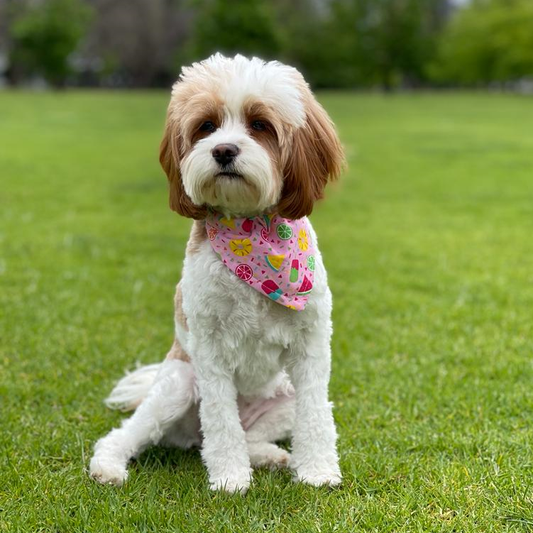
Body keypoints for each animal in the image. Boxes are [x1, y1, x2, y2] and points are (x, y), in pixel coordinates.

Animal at [88, 53, 344, 490]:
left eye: (260, 124)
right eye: (206, 126)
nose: (224, 150)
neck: (251, 232)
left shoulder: (310, 343)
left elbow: (315, 412)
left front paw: (318, 470)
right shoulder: (209, 348)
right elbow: (222, 421)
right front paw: (229, 478)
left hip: (283, 394)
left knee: (253, 433)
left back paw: (271, 456)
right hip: (178, 386)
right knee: (134, 434)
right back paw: (109, 465)